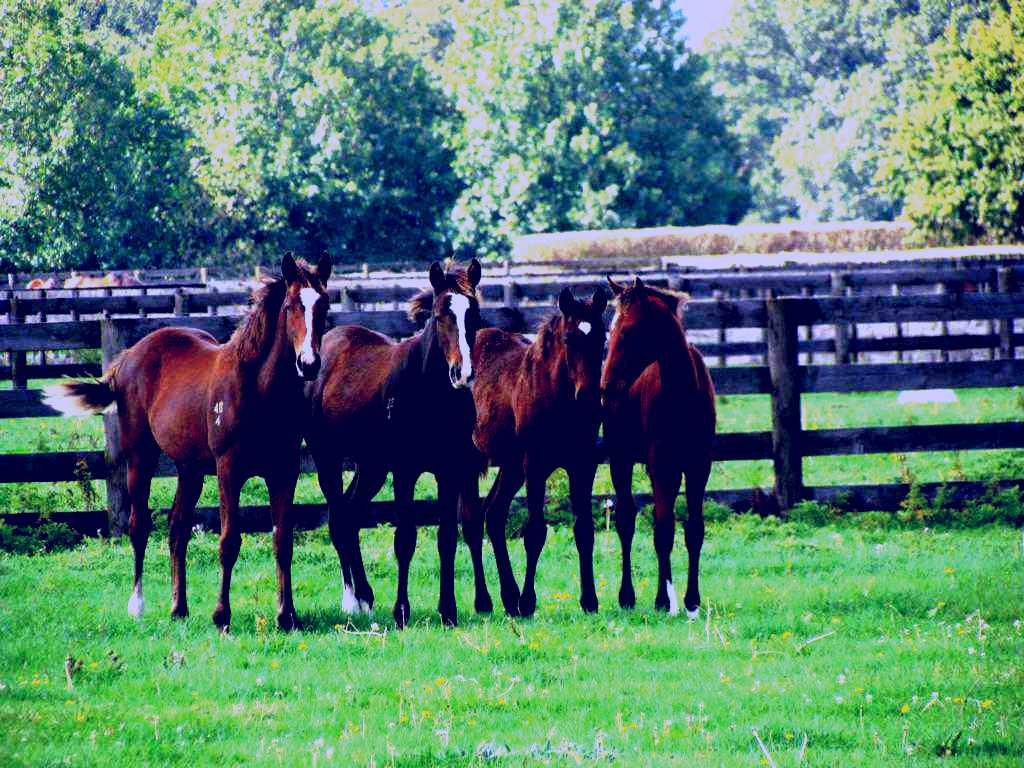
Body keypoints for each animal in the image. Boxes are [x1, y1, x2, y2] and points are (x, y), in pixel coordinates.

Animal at [45, 256, 331, 634]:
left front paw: (287, 616)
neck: (258, 388)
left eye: (324, 305)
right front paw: (221, 616)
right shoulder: (228, 469)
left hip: (190, 469)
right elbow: (229, 541)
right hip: (140, 458)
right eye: (290, 306)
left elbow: (282, 539)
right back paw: (137, 605)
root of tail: (126, 359)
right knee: (139, 525)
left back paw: (178, 608)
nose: (308, 364)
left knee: (177, 529)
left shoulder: (284, 470)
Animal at [305, 262, 485, 626]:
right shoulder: (405, 472)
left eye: (472, 314)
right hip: (327, 459)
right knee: (337, 519)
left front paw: (448, 610)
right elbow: (405, 539)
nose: (462, 373)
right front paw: (402, 610)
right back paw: (352, 600)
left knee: (350, 515)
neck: (429, 395)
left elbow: (447, 537)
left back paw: (365, 595)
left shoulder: (450, 470)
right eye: (441, 315)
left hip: (371, 467)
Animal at [466, 288, 606, 618]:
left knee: (494, 515)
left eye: (602, 336)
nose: (589, 395)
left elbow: (584, 530)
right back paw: (485, 601)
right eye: (568, 338)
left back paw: (508, 598)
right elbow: (534, 532)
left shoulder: (583, 465)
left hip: (511, 466)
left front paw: (590, 601)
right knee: (472, 522)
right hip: (473, 462)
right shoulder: (536, 466)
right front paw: (528, 602)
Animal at [598, 276, 716, 618]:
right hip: (621, 459)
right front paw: (664, 600)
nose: (607, 387)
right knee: (626, 520)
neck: (683, 392)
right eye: (610, 330)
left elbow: (694, 529)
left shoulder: (699, 464)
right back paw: (627, 596)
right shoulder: (660, 464)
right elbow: (663, 530)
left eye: (629, 330)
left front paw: (692, 600)